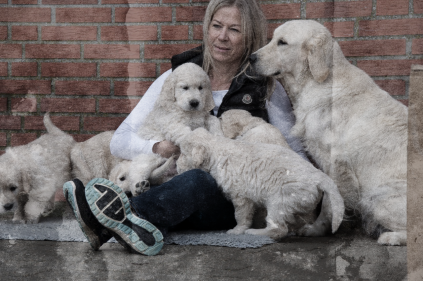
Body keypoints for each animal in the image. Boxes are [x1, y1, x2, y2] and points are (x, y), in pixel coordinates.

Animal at [176, 128, 344, 240]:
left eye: (182, 154)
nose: (176, 166)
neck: (216, 150)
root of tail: (319, 176)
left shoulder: (240, 196)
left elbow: (241, 215)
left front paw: (237, 230)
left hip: (280, 199)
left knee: (279, 228)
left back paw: (255, 233)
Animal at [250, 19, 410, 244]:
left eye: (282, 42)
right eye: (272, 39)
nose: (251, 58)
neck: (317, 81)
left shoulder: (334, 161)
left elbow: (329, 201)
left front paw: (317, 229)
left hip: (375, 198)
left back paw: (390, 237)